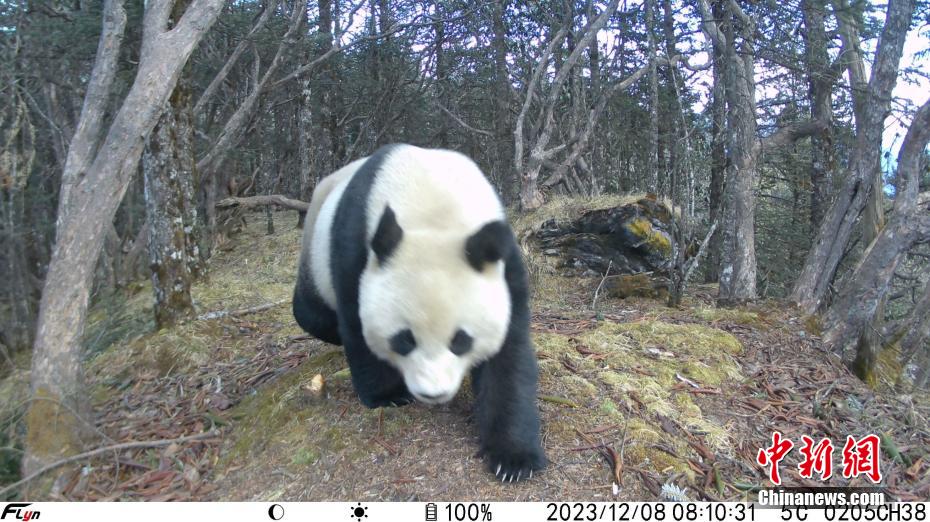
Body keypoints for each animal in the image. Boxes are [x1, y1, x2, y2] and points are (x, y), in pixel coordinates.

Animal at [294, 142, 544, 480]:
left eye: (461, 341)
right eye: (404, 339)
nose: (432, 394)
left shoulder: (504, 267)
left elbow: (508, 357)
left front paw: (513, 459)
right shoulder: (355, 248)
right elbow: (356, 325)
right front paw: (388, 395)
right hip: (315, 250)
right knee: (312, 314)